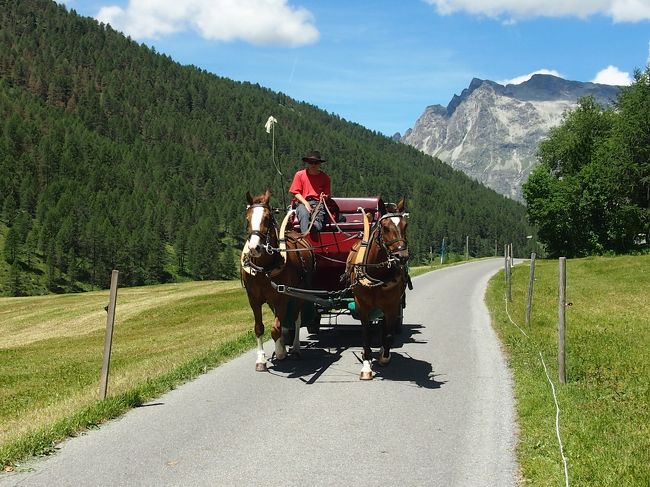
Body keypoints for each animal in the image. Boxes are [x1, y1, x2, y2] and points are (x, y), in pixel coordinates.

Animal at [240, 190, 315, 371]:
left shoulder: (282, 297)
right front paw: (261, 359)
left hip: (298, 295)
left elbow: (276, 328)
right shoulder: (253, 299)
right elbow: (259, 328)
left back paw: (295, 349)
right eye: (247, 219)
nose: (254, 248)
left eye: (267, 218)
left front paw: (280, 352)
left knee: (296, 319)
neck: (264, 269)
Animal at [344, 197, 409, 380]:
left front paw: (384, 357)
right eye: (385, 227)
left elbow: (387, 333)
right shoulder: (362, 306)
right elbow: (366, 334)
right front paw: (366, 365)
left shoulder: (391, 306)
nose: (402, 257)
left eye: (405, 225)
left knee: (385, 327)